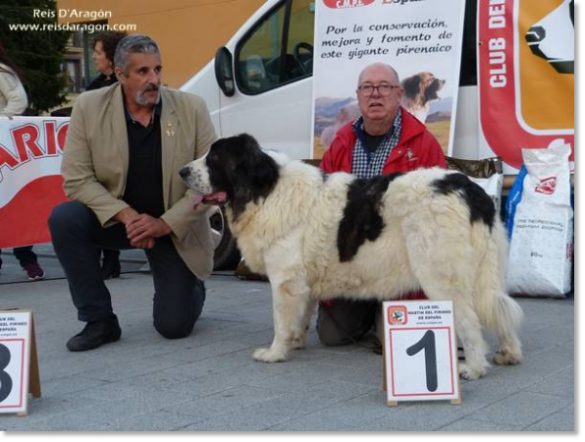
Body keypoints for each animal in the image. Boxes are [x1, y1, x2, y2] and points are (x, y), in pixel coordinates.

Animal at [180, 135, 524, 380]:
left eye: (215, 157)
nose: (183, 171)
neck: (265, 189)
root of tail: (470, 189)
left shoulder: (286, 280)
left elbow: (280, 318)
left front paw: (276, 352)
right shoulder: (302, 284)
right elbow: (301, 314)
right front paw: (295, 341)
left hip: (441, 277)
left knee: (469, 321)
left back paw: (473, 368)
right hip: (487, 270)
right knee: (499, 306)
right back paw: (509, 353)